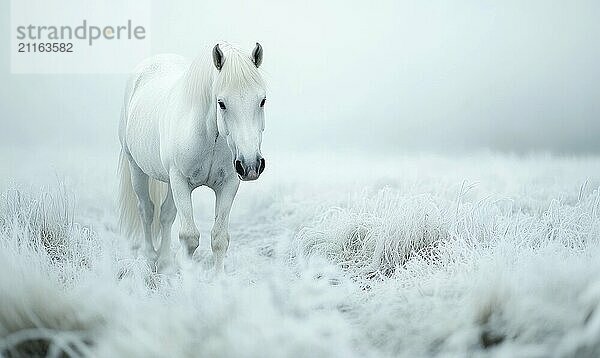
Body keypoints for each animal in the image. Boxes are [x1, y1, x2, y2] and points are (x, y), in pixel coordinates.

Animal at [118, 42, 266, 272]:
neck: (209, 137)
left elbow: (219, 238)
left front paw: (218, 277)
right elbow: (189, 238)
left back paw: (165, 261)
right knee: (147, 210)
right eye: (221, 103)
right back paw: (150, 257)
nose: (251, 165)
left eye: (262, 100)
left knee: (166, 214)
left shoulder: (229, 184)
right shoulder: (180, 181)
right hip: (137, 170)